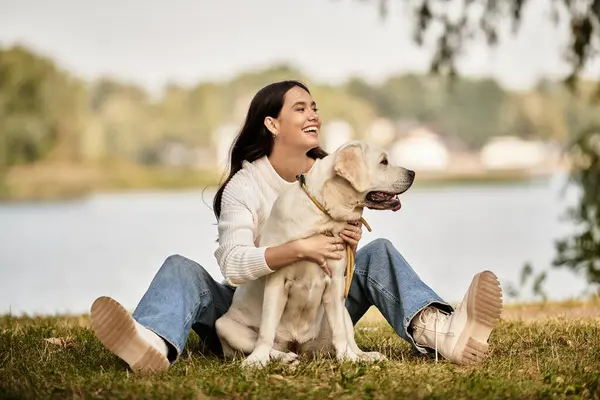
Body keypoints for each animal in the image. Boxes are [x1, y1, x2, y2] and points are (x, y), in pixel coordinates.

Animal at [216, 141, 418, 368]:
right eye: (383, 162)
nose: (413, 173)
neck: (323, 216)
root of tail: (296, 344)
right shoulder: (277, 281)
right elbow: (266, 331)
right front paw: (257, 360)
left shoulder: (336, 282)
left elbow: (340, 333)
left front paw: (347, 359)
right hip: (224, 325)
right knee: (263, 344)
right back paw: (284, 357)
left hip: (343, 312)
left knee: (348, 336)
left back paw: (363, 356)